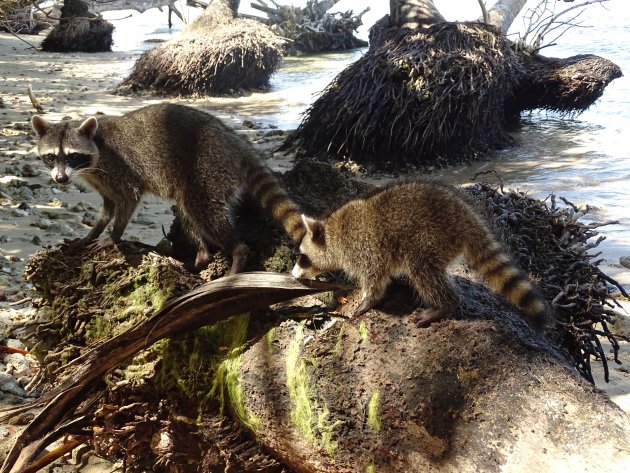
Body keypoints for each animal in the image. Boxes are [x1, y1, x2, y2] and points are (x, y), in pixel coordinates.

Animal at [32, 103, 308, 272]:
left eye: (72, 156)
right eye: (51, 157)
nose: (61, 179)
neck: (95, 150)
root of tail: (236, 142)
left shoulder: (118, 169)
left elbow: (127, 200)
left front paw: (113, 236)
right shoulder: (102, 181)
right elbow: (108, 208)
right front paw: (92, 233)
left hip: (209, 166)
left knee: (203, 210)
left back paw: (237, 253)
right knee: (188, 213)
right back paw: (203, 255)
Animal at [292, 181, 552, 332]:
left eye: (303, 257)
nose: (293, 274)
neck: (332, 234)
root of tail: (465, 216)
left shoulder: (364, 248)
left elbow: (375, 279)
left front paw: (367, 301)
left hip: (431, 236)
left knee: (422, 270)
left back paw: (444, 305)